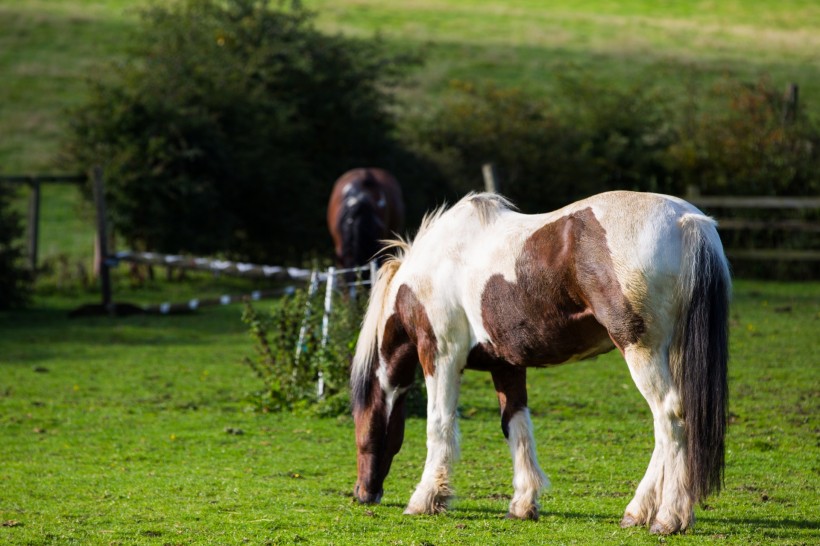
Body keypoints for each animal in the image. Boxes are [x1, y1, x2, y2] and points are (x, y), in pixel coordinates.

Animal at [350, 191, 730, 535]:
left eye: (359, 422)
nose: (361, 494)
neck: (431, 268)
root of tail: (687, 222)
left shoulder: (441, 355)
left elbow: (439, 424)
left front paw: (426, 498)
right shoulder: (506, 365)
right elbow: (516, 427)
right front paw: (522, 504)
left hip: (642, 351)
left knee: (669, 418)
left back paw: (668, 518)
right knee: (670, 427)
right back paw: (638, 512)